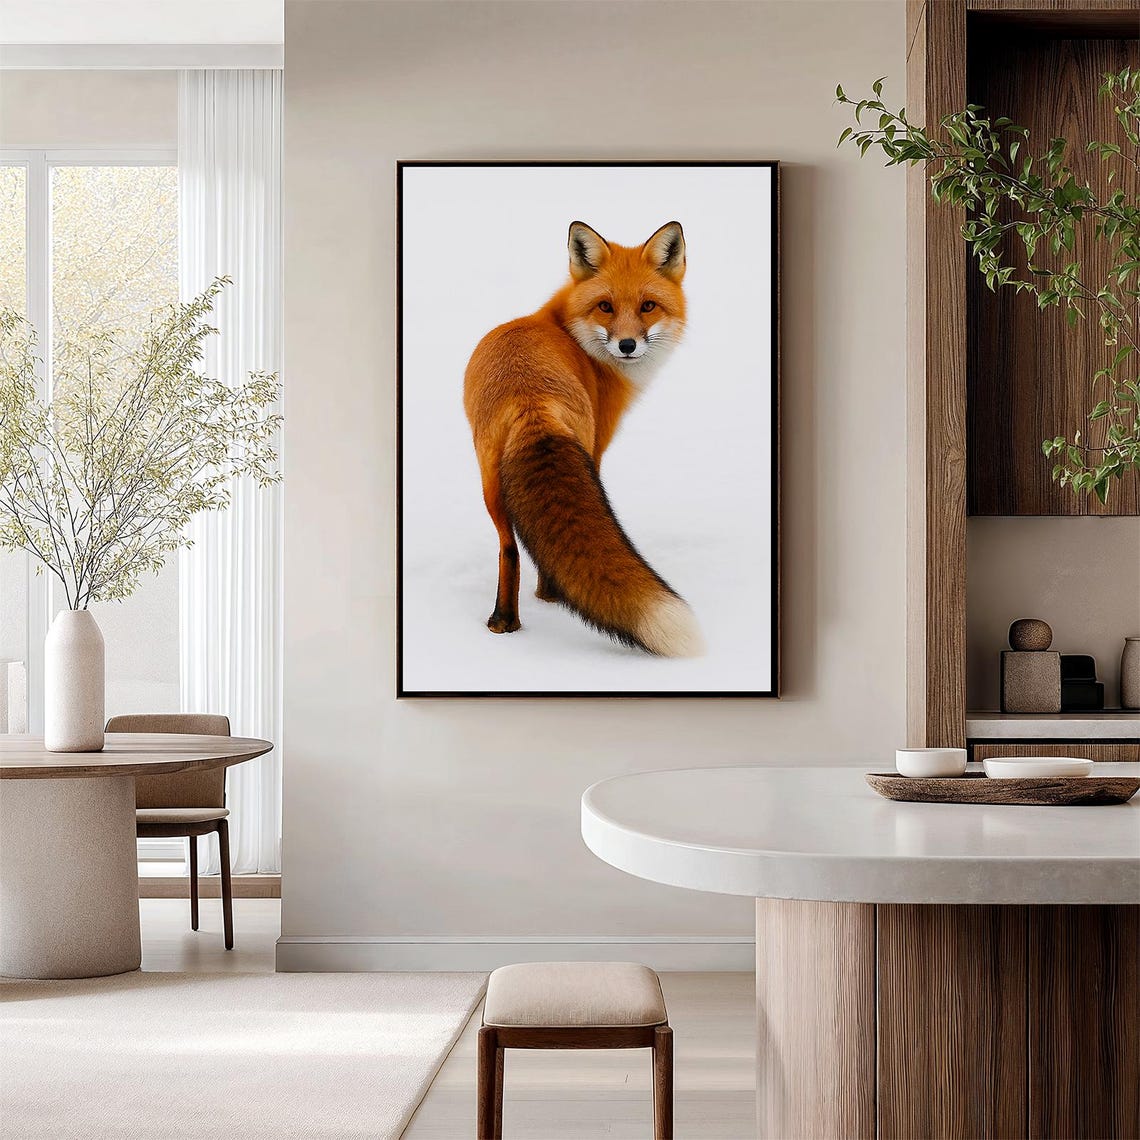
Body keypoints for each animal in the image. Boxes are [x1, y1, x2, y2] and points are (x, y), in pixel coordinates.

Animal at [462, 219, 704, 657]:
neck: (567, 330)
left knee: (510, 548)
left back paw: (504, 623)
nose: (627, 345)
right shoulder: (598, 446)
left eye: (647, 306)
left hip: (489, 482)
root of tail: (532, 400)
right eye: (605, 306)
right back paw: (548, 597)